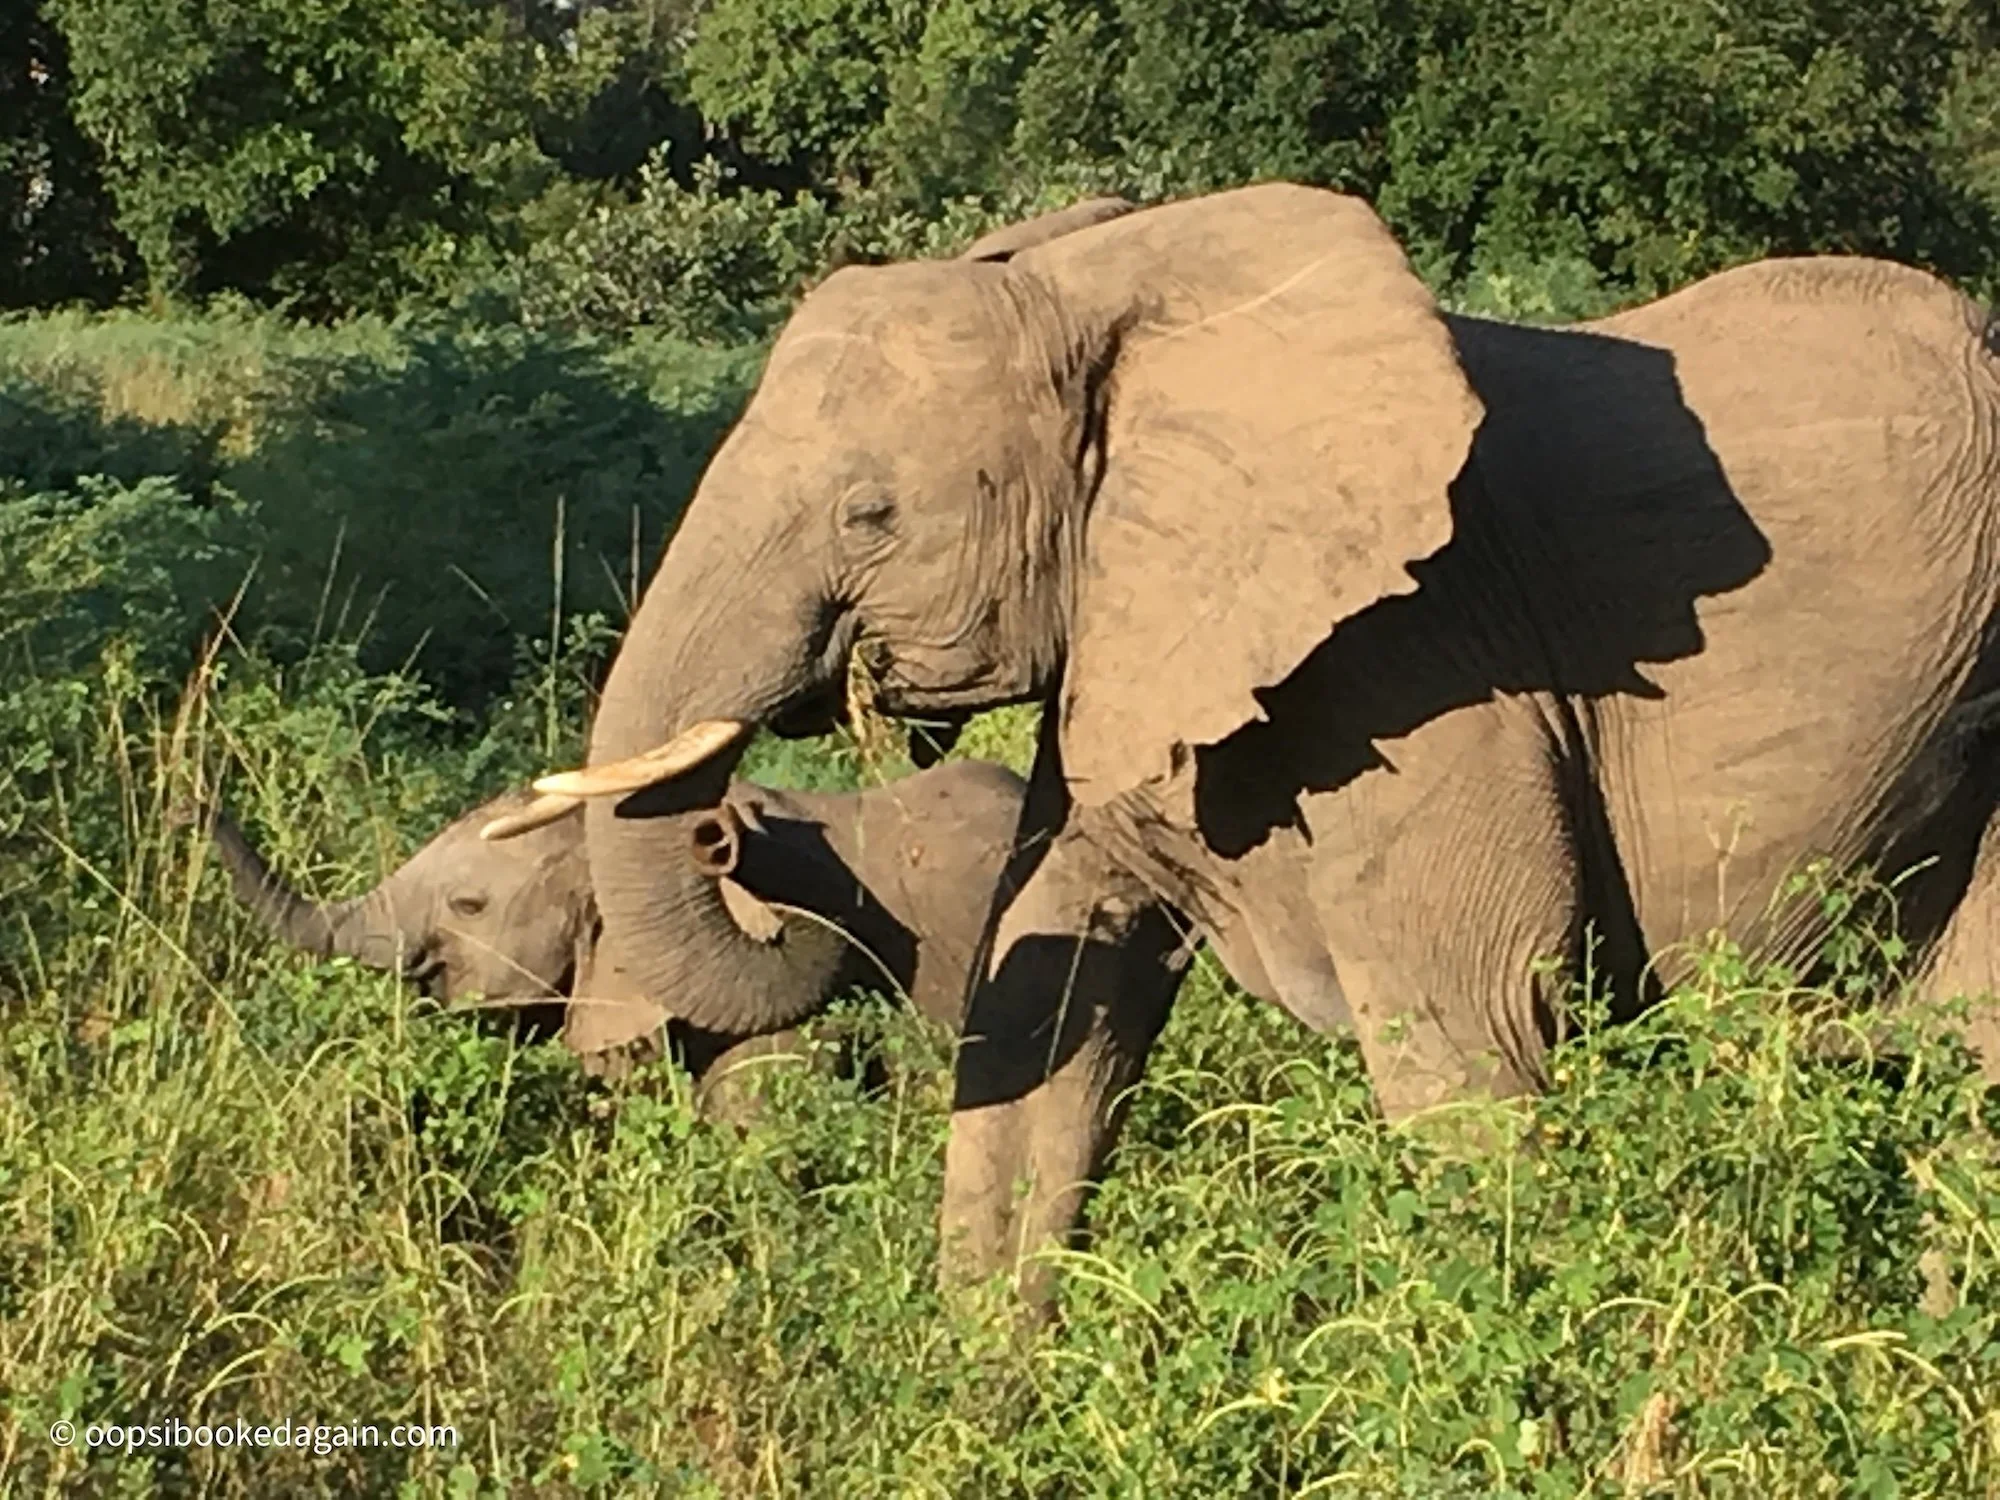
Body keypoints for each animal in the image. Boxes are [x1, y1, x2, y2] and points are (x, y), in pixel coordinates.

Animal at [488, 183, 2000, 1313]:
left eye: (870, 515)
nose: (725, 832)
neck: (1108, 288)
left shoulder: (1439, 655)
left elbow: (1471, 1034)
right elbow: (1047, 1001)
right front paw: (979, 1409)